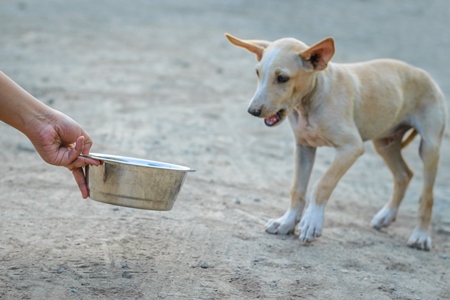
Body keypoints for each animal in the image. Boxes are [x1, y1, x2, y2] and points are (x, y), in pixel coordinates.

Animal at [227, 32, 444, 251]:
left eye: (282, 78)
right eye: (257, 73)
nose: (253, 111)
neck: (311, 101)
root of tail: (424, 74)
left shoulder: (351, 148)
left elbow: (322, 184)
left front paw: (311, 221)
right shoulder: (304, 148)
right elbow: (297, 188)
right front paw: (286, 222)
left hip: (429, 146)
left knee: (427, 195)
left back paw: (420, 235)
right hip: (385, 143)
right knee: (404, 174)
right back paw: (386, 216)